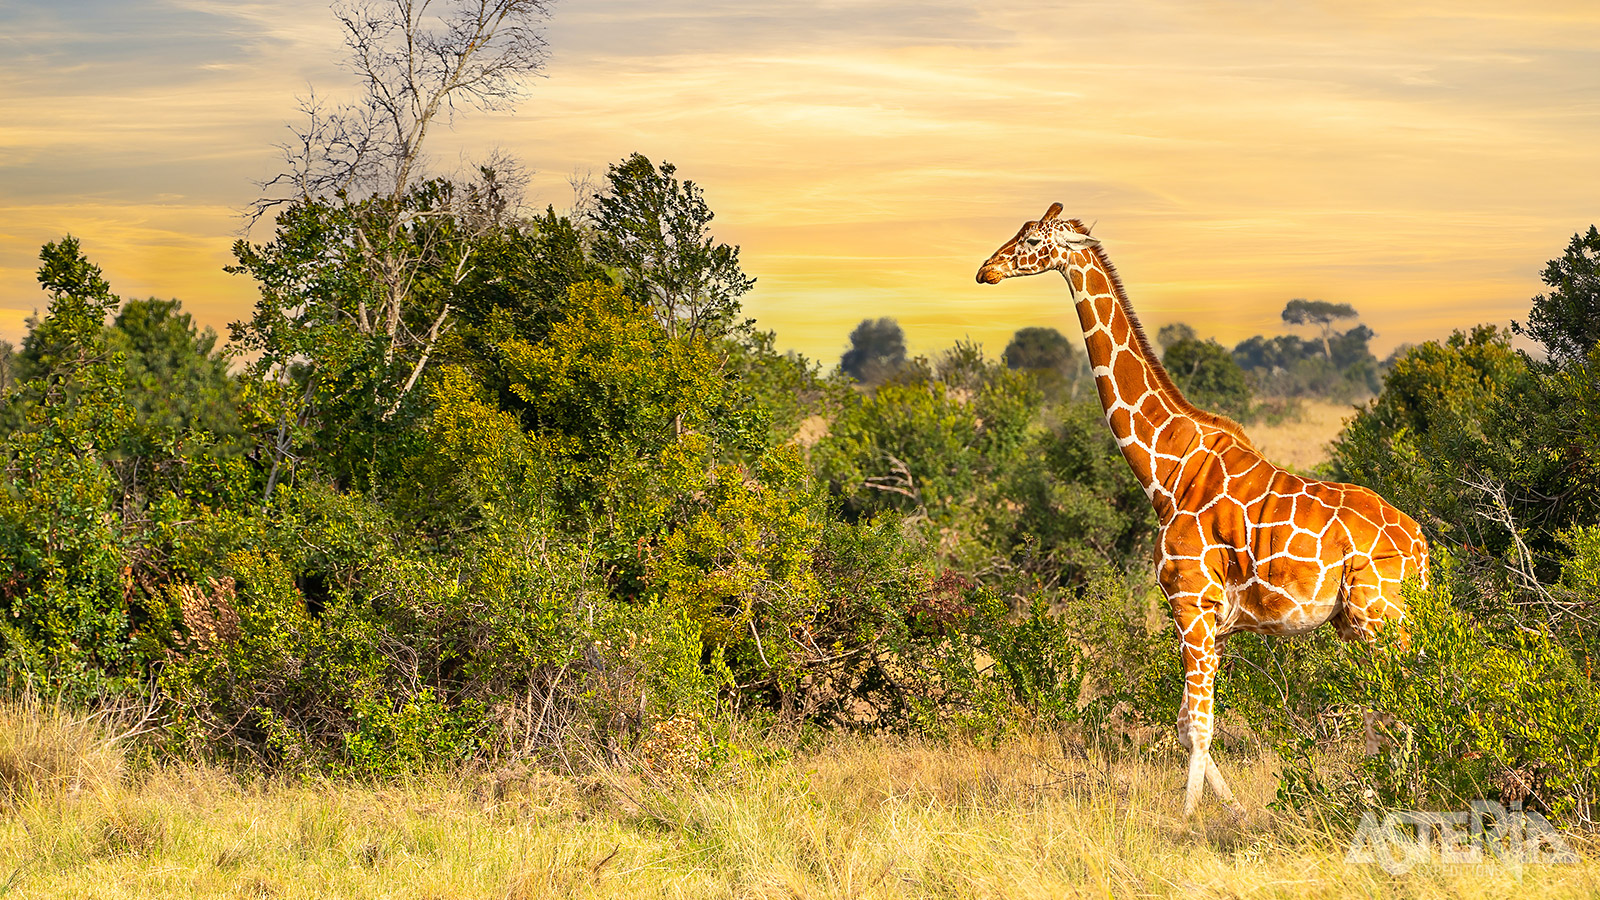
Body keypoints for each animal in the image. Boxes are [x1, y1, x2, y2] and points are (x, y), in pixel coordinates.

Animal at [979, 203, 1433, 813]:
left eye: (1032, 239)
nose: (985, 270)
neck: (1166, 471)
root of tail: (1422, 546)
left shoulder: (1191, 603)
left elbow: (1197, 725)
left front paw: (1189, 817)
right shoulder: (1212, 620)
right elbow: (1184, 723)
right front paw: (1233, 809)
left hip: (1379, 616)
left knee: (1406, 702)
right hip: (1360, 622)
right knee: (1390, 706)